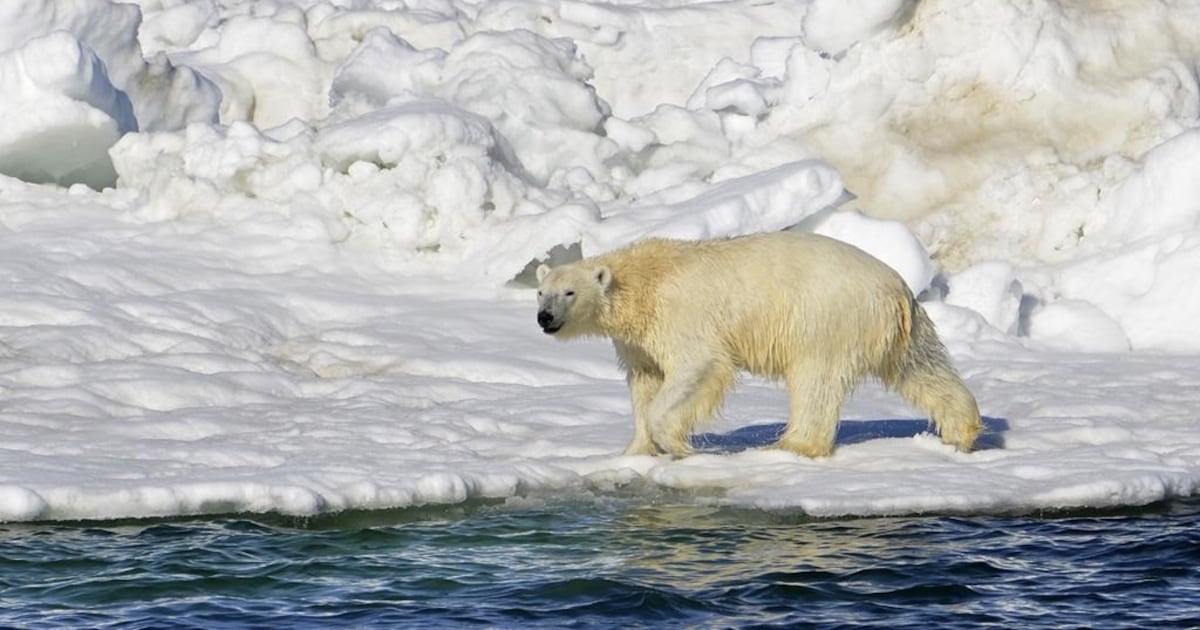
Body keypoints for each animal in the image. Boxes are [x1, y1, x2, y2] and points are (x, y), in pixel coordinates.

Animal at [535, 231, 982, 458]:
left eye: (569, 292)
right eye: (541, 292)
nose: (544, 318)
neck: (643, 281)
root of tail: (895, 288)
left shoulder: (681, 317)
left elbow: (697, 367)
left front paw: (676, 443)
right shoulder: (638, 341)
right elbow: (644, 382)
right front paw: (636, 450)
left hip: (825, 317)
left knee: (815, 380)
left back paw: (792, 444)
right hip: (900, 329)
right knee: (922, 368)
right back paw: (961, 431)